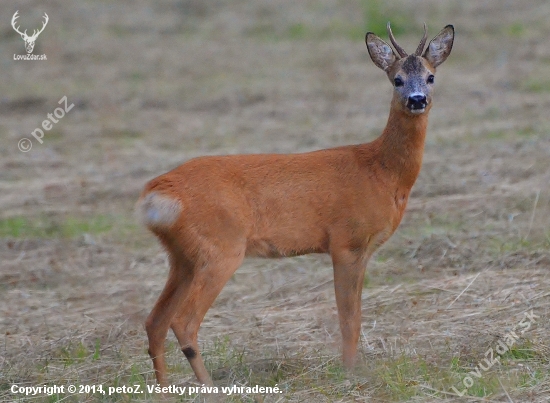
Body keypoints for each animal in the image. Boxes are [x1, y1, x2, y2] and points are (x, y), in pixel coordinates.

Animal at [136, 22, 454, 388]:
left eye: (430, 76)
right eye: (396, 79)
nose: (417, 100)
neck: (382, 172)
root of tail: (157, 193)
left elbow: (354, 316)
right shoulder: (347, 242)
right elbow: (349, 319)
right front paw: (349, 372)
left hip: (183, 256)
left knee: (155, 321)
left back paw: (163, 389)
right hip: (221, 249)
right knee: (183, 322)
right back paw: (211, 387)